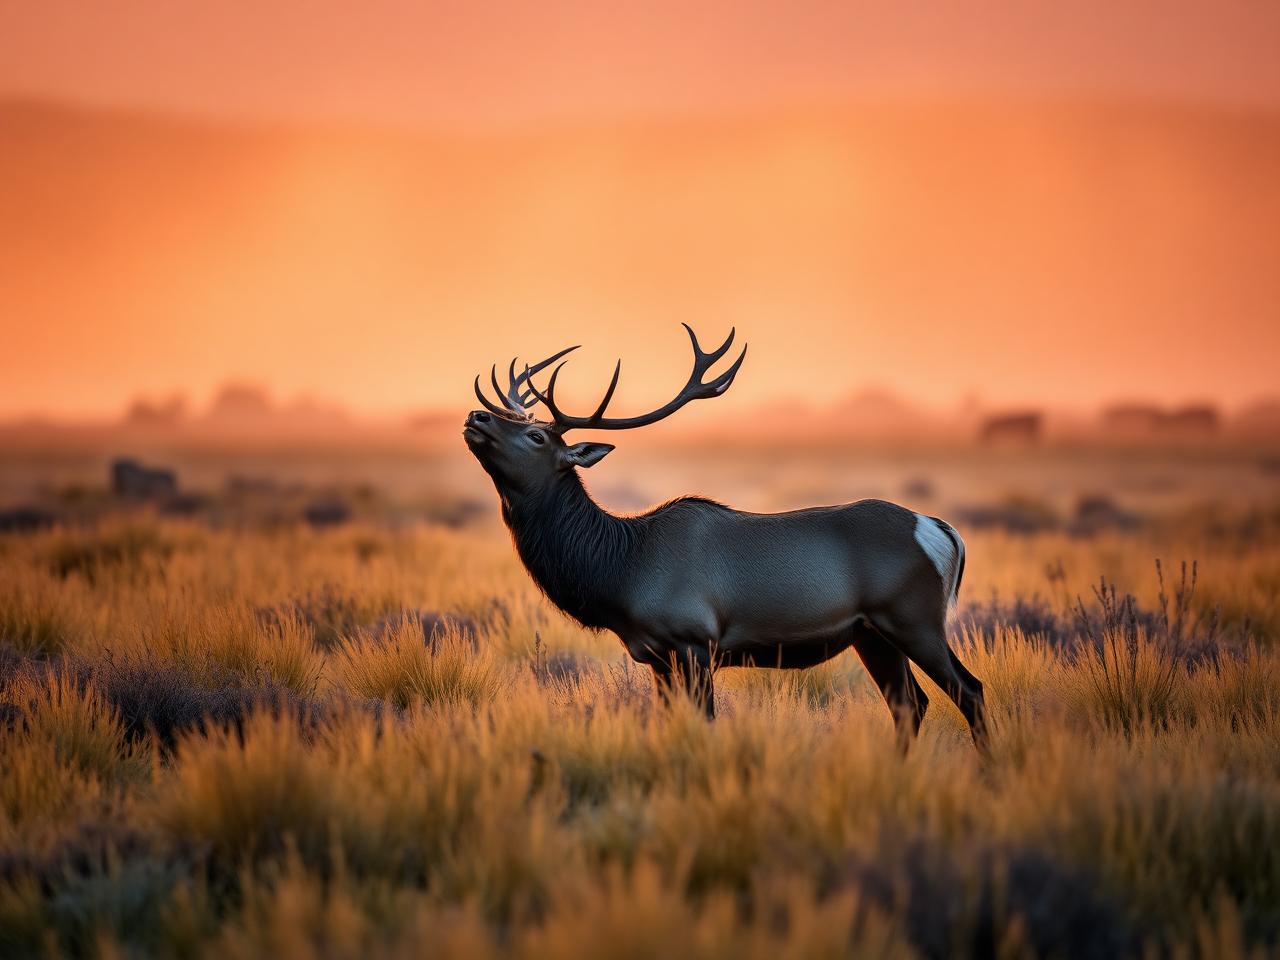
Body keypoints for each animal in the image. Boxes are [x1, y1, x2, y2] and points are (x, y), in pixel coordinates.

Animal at [464, 325, 986, 748]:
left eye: (538, 437)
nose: (476, 417)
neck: (619, 570)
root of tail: (942, 531)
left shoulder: (695, 641)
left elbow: (707, 724)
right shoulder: (657, 657)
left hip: (915, 618)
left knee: (969, 690)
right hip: (872, 633)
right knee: (909, 704)